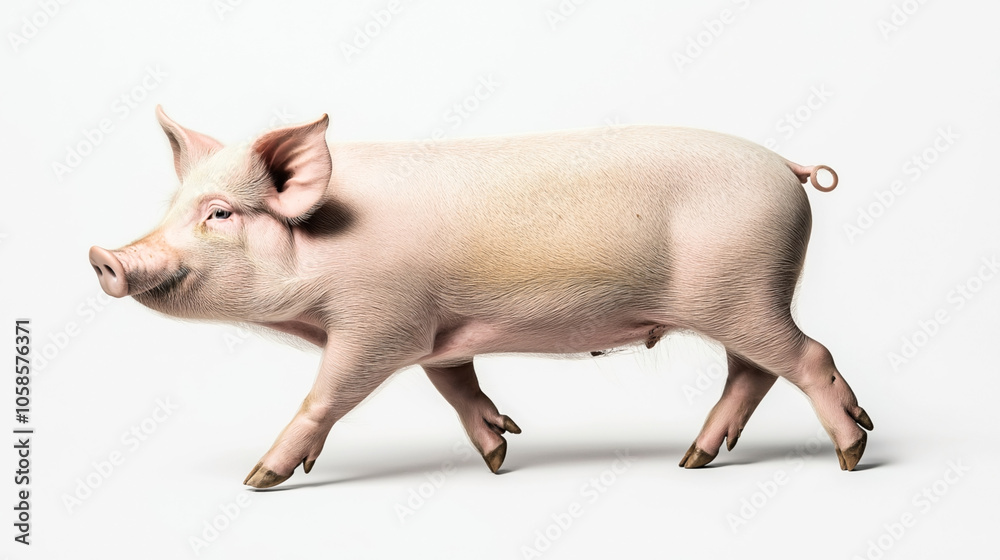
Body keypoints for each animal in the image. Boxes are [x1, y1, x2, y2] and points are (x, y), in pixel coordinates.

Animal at [89, 106, 872, 489]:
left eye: (219, 213)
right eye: (172, 206)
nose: (103, 256)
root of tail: (787, 167)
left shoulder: (382, 323)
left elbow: (326, 395)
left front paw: (258, 480)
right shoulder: (435, 330)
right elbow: (454, 386)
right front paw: (499, 453)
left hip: (744, 291)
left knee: (807, 356)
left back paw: (850, 455)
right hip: (742, 297)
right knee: (755, 371)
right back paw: (693, 462)